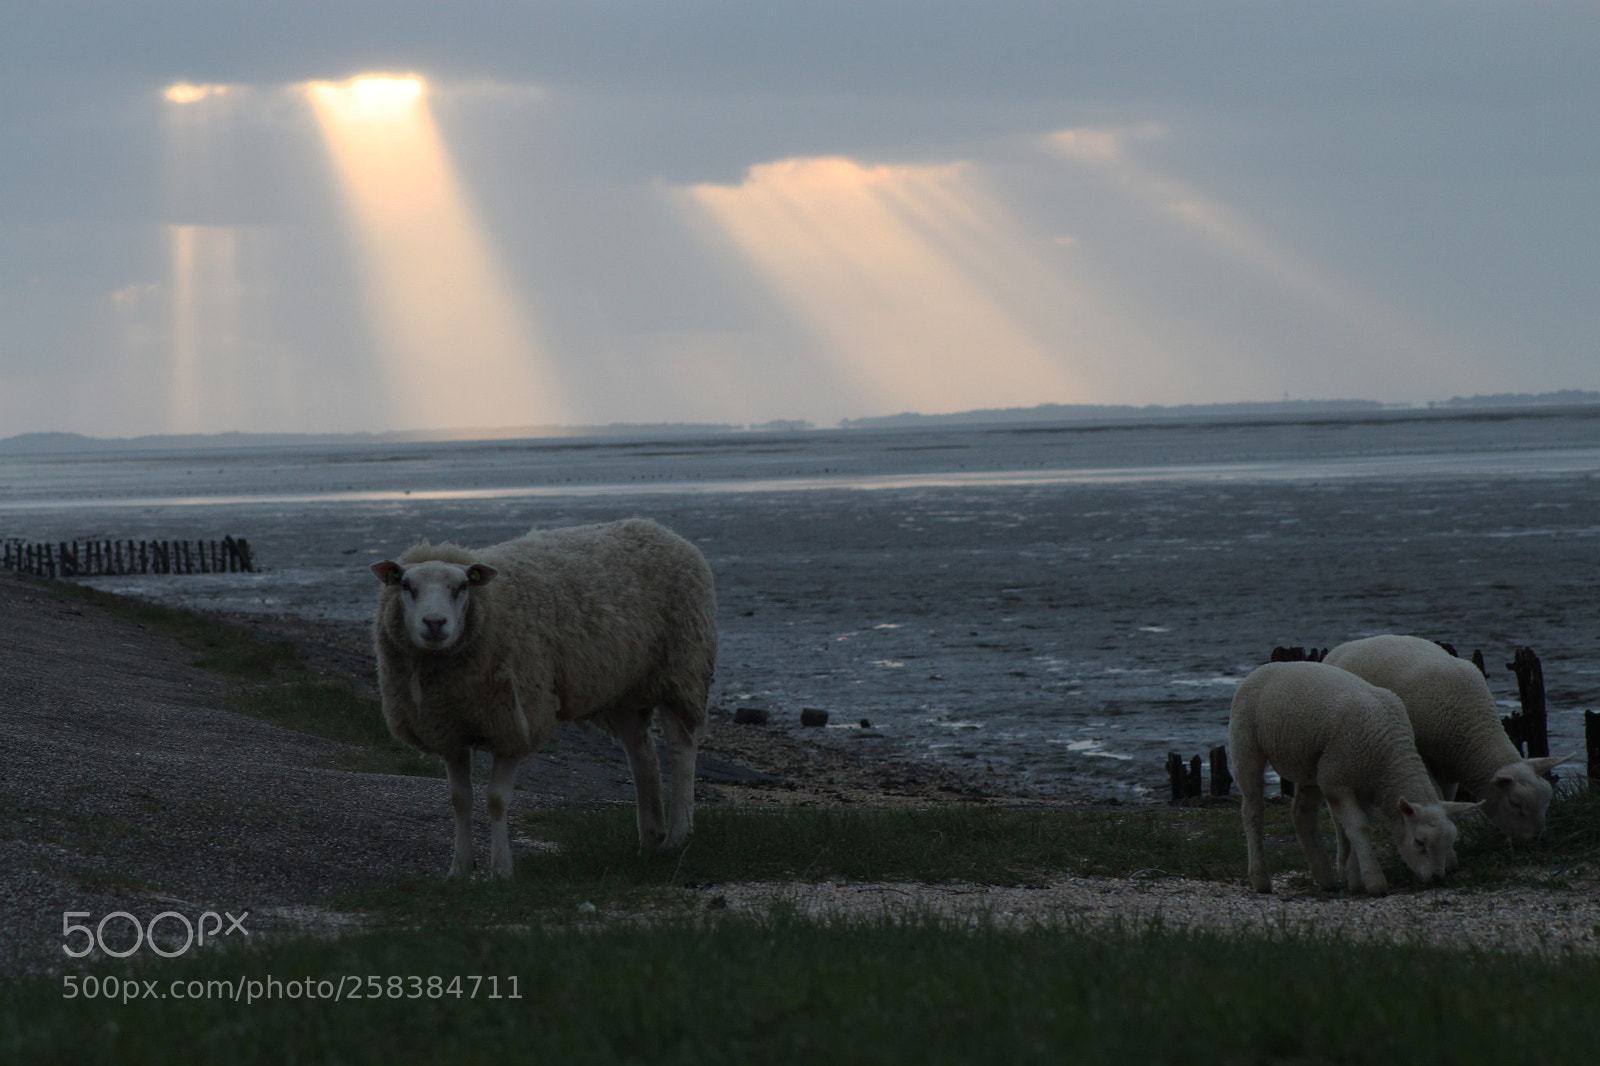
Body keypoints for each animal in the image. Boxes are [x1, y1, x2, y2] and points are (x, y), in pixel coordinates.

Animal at [370, 518, 717, 878]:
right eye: (406, 586)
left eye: (462, 586)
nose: (435, 623)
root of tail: (659, 529)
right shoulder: (448, 728)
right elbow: (459, 798)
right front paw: (460, 869)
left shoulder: (515, 723)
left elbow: (496, 799)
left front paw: (501, 870)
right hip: (623, 688)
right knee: (642, 755)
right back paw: (650, 839)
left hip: (681, 666)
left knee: (680, 749)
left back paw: (677, 836)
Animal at [1229, 661, 1478, 895]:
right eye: (1419, 842)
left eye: (1450, 842)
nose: (1437, 879)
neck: (1388, 755)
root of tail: (1266, 668)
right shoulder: (1336, 781)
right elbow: (1359, 827)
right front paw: (1374, 881)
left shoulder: (1363, 785)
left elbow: (1359, 826)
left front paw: (1355, 879)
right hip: (1247, 745)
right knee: (1252, 812)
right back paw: (1260, 879)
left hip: (1311, 765)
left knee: (1302, 814)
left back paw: (1325, 878)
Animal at [1323, 634, 1571, 843]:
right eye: (1515, 803)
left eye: (1546, 800)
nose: (1535, 840)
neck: (1474, 727)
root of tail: (1341, 647)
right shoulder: (1425, 760)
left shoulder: (1449, 766)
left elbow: (1448, 797)